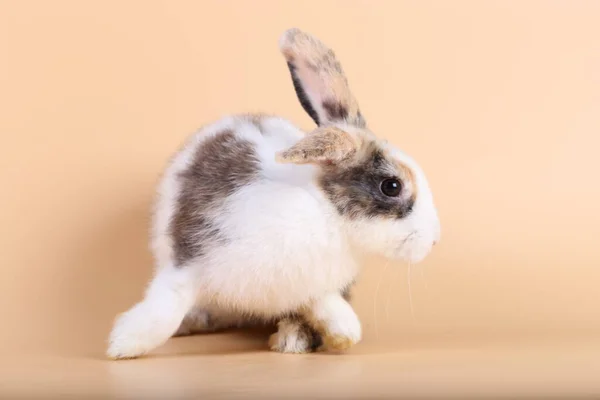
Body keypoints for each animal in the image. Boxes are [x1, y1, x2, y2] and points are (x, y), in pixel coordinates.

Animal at [106, 28, 440, 360]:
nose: (435, 239)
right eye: (391, 186)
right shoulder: (188, 262)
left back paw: (292, 338)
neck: (325, 213)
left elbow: (324, 303)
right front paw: (122, 344)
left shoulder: (311, 285)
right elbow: (166, 307)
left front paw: (344, 333)